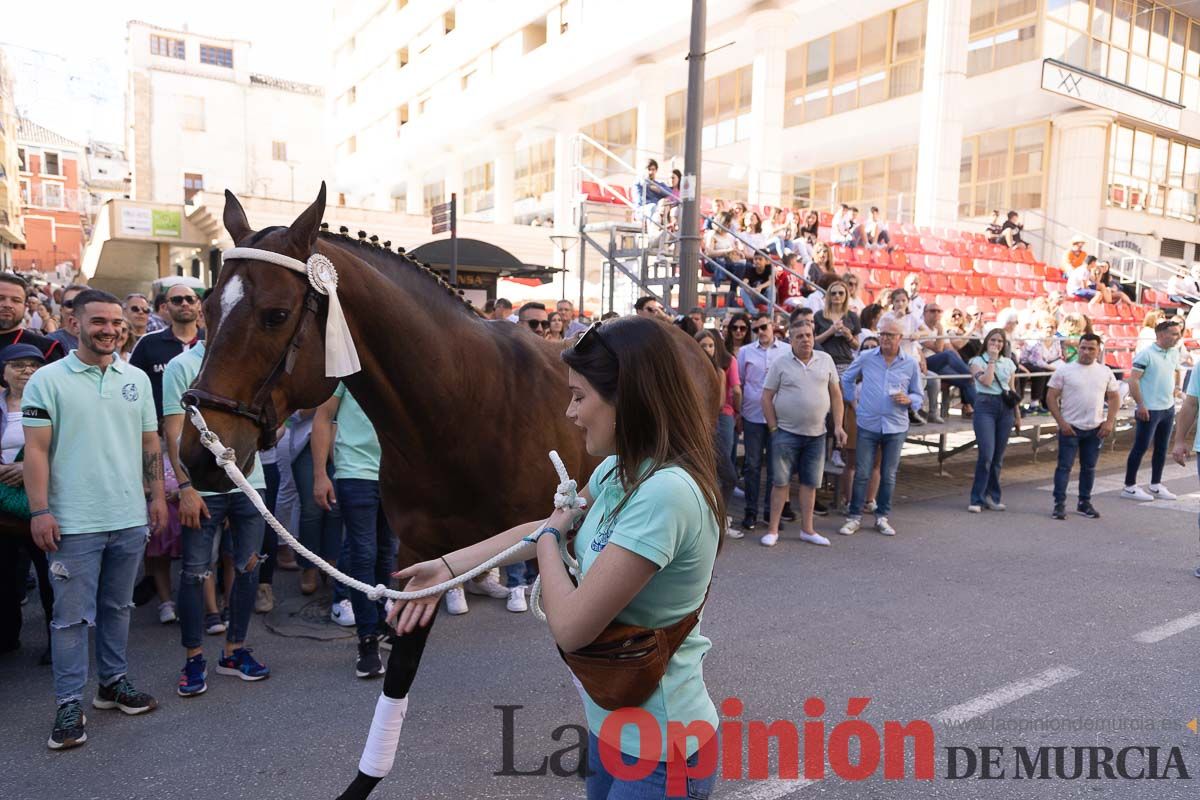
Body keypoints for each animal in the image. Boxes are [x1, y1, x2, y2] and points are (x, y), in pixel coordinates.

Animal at [182, 184, 715, 796]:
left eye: (275, 315)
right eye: (206, 310)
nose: (198, 454)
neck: (461, 405)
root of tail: (686, 338)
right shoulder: (422, 554)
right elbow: (399, 674)